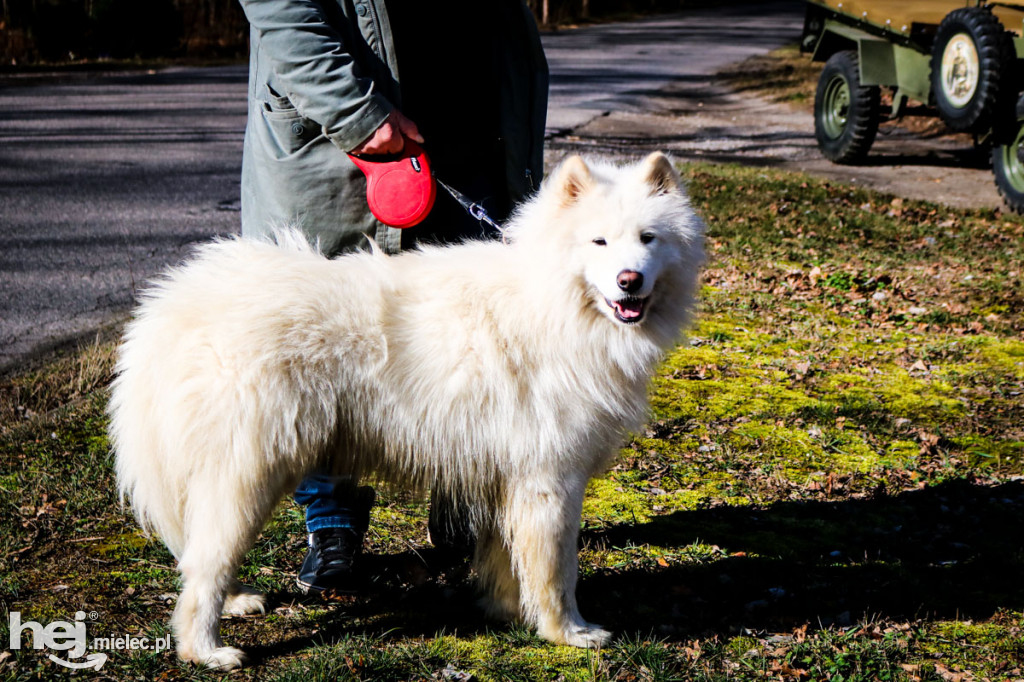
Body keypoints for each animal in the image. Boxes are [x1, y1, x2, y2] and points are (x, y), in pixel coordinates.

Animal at [110, 151, 704, 667]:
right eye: (598, 241)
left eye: (648, 239)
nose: (630, 280)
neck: (552, 304)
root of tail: (184, 305)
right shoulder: (550, 481)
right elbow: (559, 571)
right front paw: (569, 633)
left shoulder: (506, 476)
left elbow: (508, 560)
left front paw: (509, 613)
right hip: (250, 471)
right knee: (204, 566)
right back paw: (206, 650)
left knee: (202, 554)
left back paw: (236, 602)